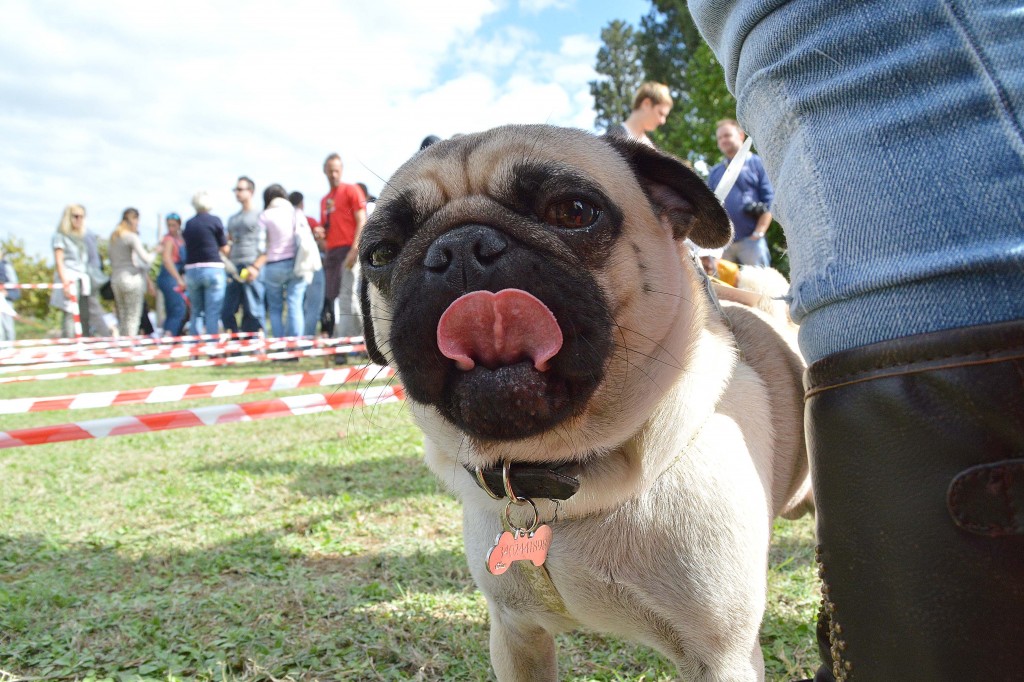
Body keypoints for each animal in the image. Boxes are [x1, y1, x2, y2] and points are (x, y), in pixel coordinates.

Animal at [358, 125, 810, 681]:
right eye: (381, 253)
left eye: (574, 212)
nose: (461, 245)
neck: (559, 480)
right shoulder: (515, 636)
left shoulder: (721, 657)